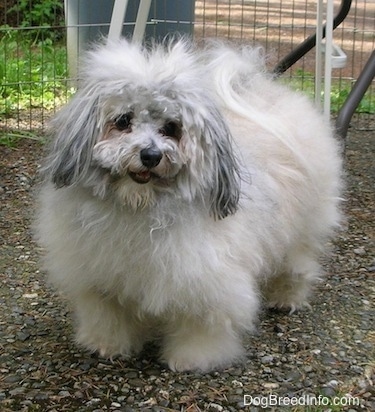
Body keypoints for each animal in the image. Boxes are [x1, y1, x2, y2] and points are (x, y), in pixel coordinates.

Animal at [35, 38, 344, 372]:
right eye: (123, 121)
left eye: (171, 127)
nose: (150, 155)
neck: (140, 209)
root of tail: (263, 91)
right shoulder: (100, 275)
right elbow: (109, 312)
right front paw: (107, 344)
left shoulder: (205, 279)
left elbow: (202, 321)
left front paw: (192, 358)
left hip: (303, 228)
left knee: (298, 266)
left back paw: (286, 298)